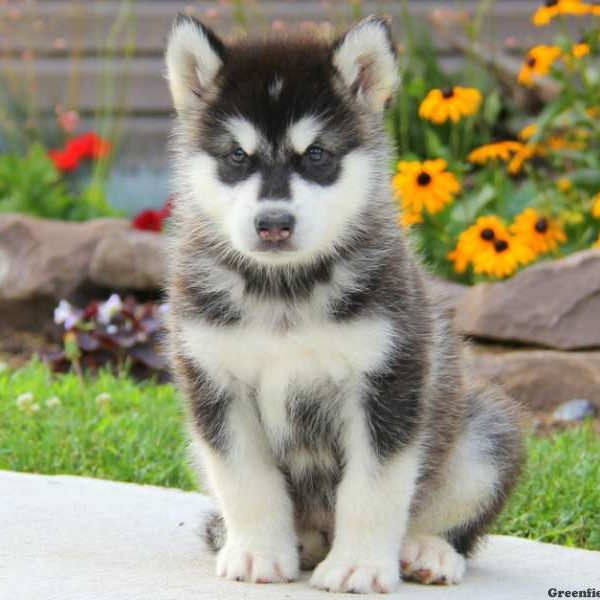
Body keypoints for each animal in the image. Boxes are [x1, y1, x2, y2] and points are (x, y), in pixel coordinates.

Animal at [165, 15, 524, 596]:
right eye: (237, 156)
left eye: (316, 155)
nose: (273, 223)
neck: (285, 292)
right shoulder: (216, 385)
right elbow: (246, 481)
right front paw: (259, 552)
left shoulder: (387, 381)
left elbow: (375, 488)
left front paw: (359, 565)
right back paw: (299, 542)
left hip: (486, 433)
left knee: (444, 517)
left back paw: (425, 551)